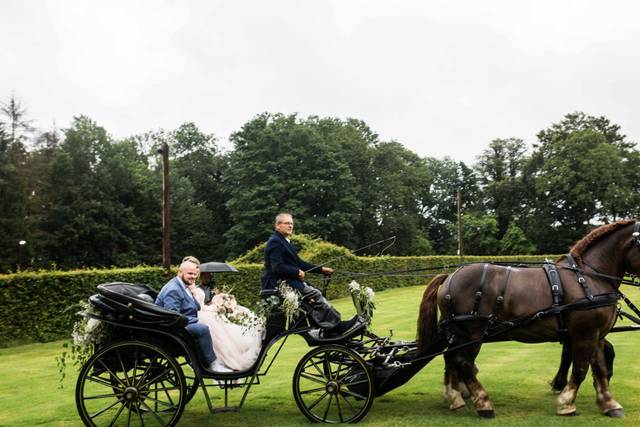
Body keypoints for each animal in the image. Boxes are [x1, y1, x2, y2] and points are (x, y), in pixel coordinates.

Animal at [416, 221, 640, 418]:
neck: (587, 277)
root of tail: (449, 277)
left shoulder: (596, 334)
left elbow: (599, 368)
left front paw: (609, 403)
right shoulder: (584, 334)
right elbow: (580, 370)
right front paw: (566, 404)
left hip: (458, 333)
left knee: (451, 359)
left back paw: (455, 397)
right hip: (473, 332)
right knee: (464, 363)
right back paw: (483, 403)